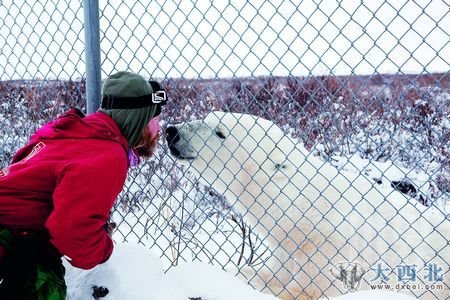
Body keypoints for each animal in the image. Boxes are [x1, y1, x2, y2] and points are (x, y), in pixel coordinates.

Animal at [166, 111, 450, 298]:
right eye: (207, 116)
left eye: (220, 132)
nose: (172, 131)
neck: (301, 207)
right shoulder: (286, 249)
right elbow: (273, 271)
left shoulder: (330, 247)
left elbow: (308, 289)